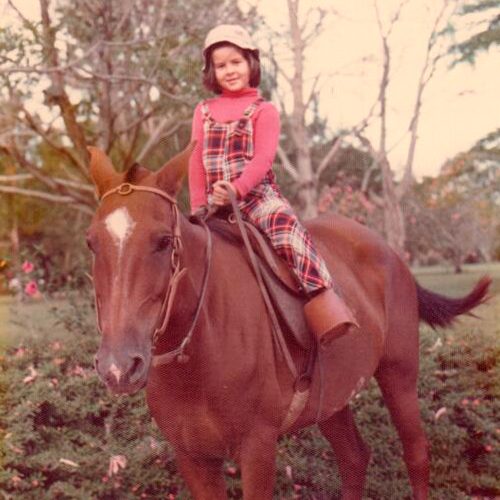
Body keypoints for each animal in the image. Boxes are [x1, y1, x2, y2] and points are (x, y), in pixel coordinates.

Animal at [87, 145, 492, 500]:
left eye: (163, 241)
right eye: (91, 243)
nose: (119, 367)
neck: (198, 354)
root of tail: (391, 253)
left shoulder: (257, 449)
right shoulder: (192, 456)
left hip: (399, 374)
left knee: (416, 453)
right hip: (331, 397)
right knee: (354, 458)